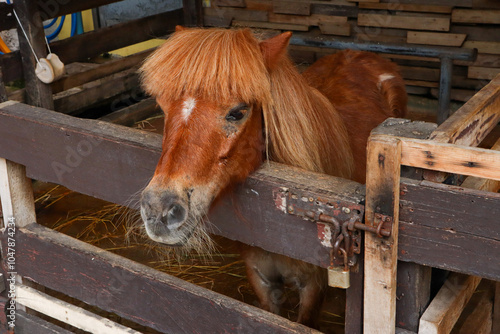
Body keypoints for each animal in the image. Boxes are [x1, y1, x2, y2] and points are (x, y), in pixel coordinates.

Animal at [140, 26, 406, 328]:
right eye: (163, 105)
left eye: (238, 112)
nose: (159, 211)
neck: (278, 225)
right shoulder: (262, 281)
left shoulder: (313, 287)